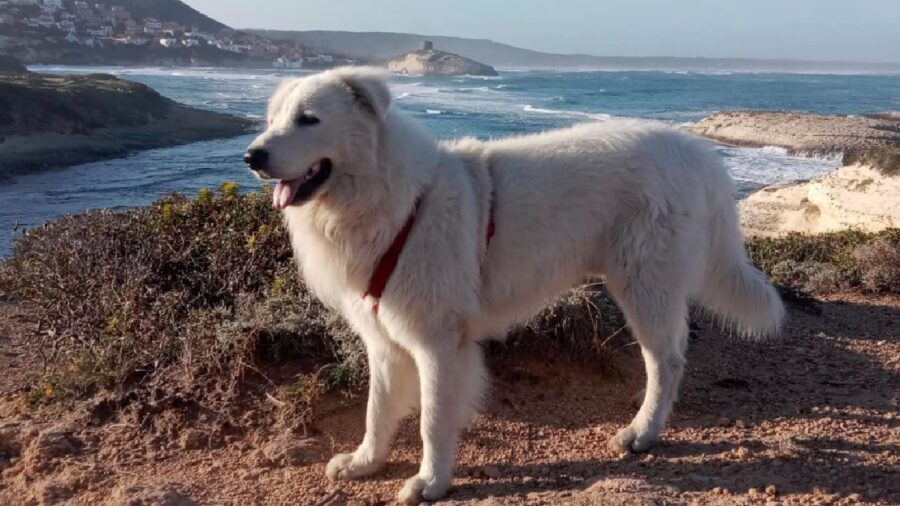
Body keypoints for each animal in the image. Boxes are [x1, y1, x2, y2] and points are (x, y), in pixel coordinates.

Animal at [243, 68, 784, 506]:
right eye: (272, 119)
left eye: (308, 119)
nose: (252, 155)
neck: (395, 203)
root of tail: (698, 152)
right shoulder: (384, 340)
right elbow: (377, 410)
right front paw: (364, 462)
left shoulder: (439, 344)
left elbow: (433, 420)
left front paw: (431, 483)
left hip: (643, 287)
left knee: (666, 362)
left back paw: (642, 432)